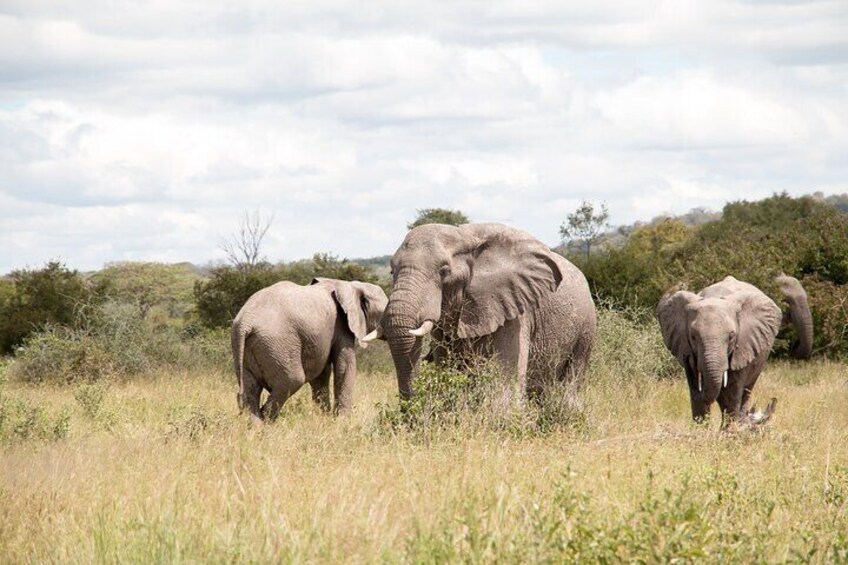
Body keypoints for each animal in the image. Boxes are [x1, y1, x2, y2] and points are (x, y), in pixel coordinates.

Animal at [234, 278, 390, 424]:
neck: (350, 285)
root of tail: (245, 321)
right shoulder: (341, 326)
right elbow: (345, 366)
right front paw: (342, 421)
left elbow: (321, 374)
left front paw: (324, 418)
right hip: (276, 344)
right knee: (292, 380)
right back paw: (265, 421)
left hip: (249, 348)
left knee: (251, 388)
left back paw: (255, 426)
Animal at [360, 220, 596, 400]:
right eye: (392, 271)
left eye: (444, 271)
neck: (463, 235)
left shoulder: (515, 311)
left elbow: (505, 379)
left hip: (586, 329)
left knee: (572, 378)